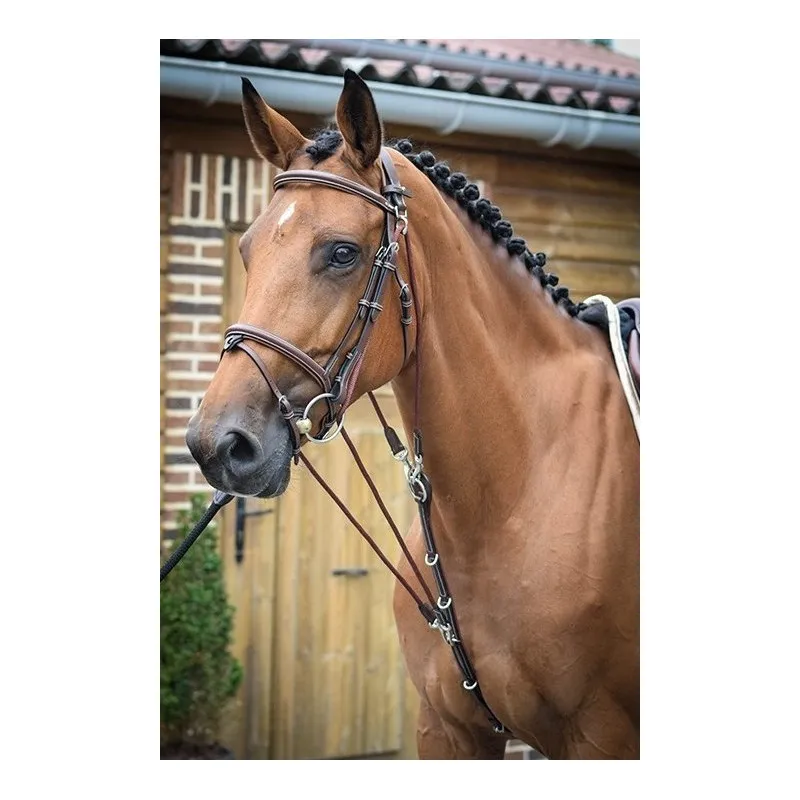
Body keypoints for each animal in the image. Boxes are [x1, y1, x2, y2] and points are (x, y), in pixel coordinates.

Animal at [185, 70, 640, 760]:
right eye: (246, 249)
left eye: (342, 252)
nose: (219, 444)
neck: (512, 496)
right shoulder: (445, 727)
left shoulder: (599, 737)